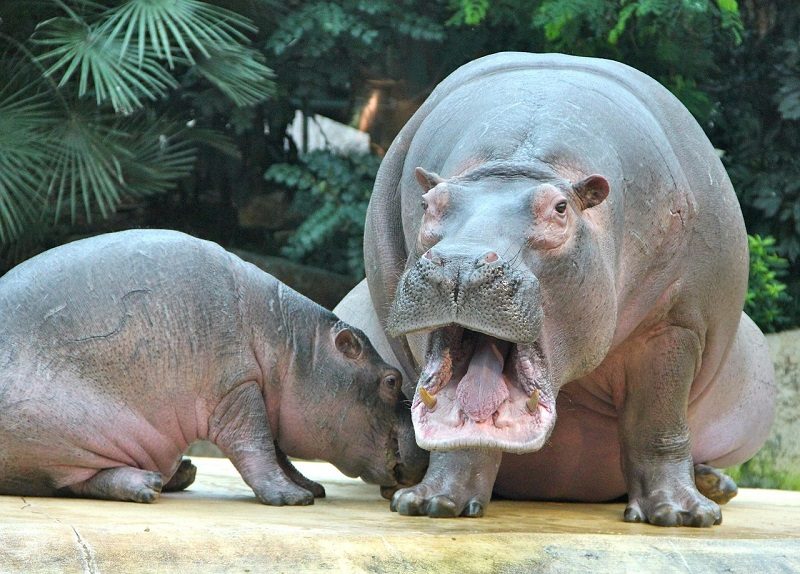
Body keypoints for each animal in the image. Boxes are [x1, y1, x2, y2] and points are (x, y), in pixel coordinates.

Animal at [0, 230, 425, 505]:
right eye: (392, 380)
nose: (424, 447)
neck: (295, 347)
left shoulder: (263, 394)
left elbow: (278, 452)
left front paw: (310, 488)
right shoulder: (237, 390)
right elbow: (256, 445)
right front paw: (292, 498)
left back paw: (179, 473)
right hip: (65, 426)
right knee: (72, 481)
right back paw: (148, 485)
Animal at [335, 52, 776, 526]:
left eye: (560, 208)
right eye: (428, 204)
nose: (460, 263)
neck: (520, 163)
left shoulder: (677, 325)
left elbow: (657, 423)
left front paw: (680, 514)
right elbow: (460, 436)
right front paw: (430, 503)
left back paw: (715, 487)